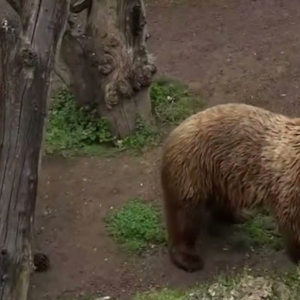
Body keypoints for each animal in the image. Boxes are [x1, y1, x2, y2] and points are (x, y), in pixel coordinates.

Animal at [162, 102, 300, 272]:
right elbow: (291, 219)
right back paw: (189, 259)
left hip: (223, 174)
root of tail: (173, 134)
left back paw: (240, 215)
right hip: (192, 169)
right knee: (186, 217)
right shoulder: (289, 184)